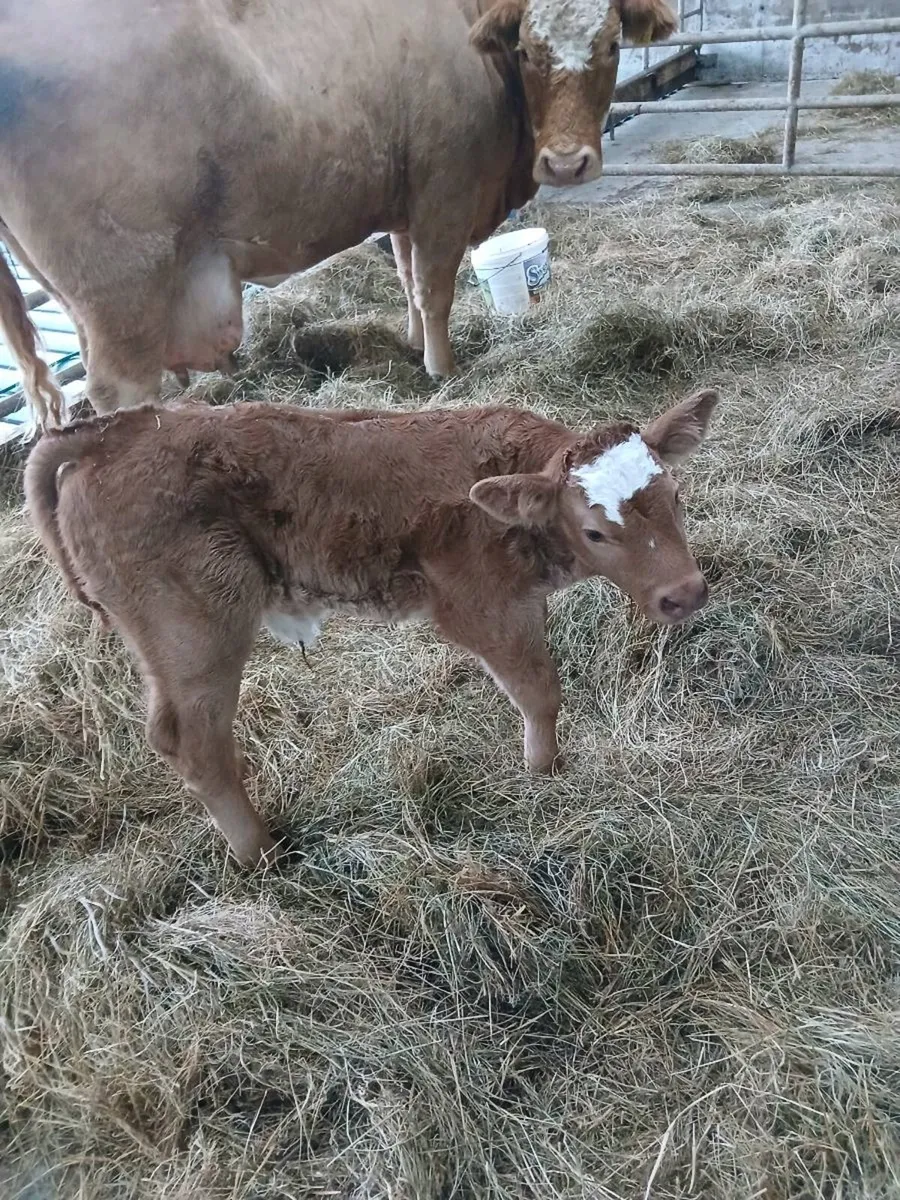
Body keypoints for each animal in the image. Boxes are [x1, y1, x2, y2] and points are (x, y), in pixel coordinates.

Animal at [0, 0, 677, 428]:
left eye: (612, 44)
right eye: (529, 50)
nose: (566, 163)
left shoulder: (405, 198)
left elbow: (405, 277)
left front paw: (412, 345)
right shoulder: (444, 189)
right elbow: (435, 288)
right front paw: (442, 370)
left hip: (82, 301)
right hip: (123, 287)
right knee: (117, 391)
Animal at [24, 388, 718, 867]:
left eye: (677, 497)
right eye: (596, 532)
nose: (685, 593)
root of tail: (116, 429)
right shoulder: (480, 609)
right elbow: (540, 693)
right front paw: (543, 773)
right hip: (196, 626)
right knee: (194, 744)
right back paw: (262, 856)